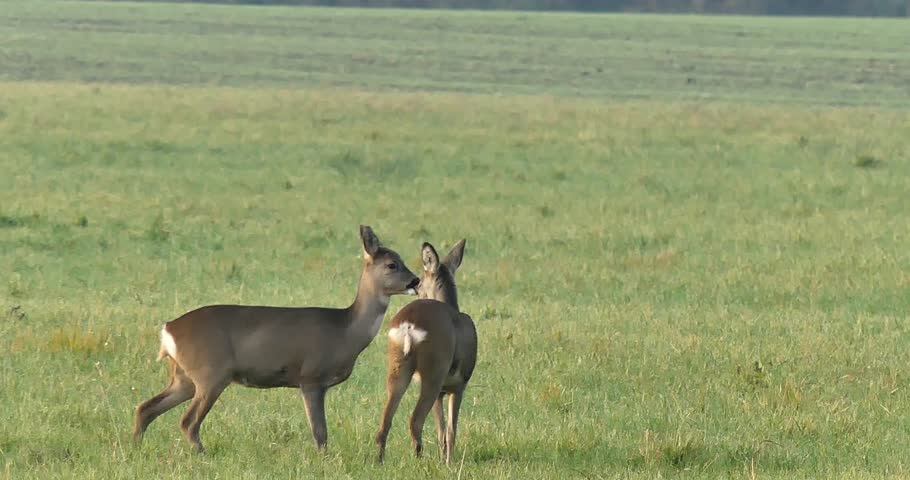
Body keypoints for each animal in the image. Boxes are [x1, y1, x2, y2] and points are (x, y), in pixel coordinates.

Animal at [132, 225, 420, 454]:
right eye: (392, 264)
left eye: (402, 259)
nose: (416, 280)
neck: (345, 331)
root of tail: (168, 329)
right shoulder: (311, 377)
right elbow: (320, 432)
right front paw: (324, 461)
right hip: (210, 374)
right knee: (187, 422)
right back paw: (201, 455)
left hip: (184, 377)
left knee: (145, 408)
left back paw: (136, 448)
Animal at [375, 239, 478, 465]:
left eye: (419, 283)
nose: (415, 288)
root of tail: (408, 325)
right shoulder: (458, 385)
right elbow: (450, 430)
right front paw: (448, 463)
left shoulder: (442, 393)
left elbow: (441, 430)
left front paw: (443, 459)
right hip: (434, 372)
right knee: (415, 420)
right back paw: (419, 460)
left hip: (397, 367)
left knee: (384, 423)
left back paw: (379, 461)